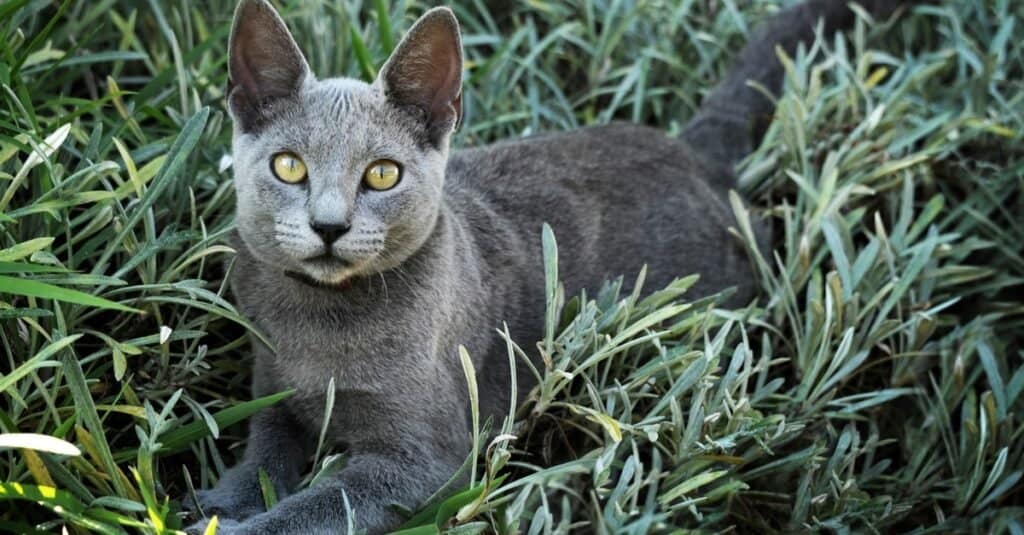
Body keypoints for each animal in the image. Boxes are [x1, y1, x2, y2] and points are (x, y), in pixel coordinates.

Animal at [190, 1, 921, 532]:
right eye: (289, 166)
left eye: (382, 174)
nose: (330, 225)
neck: (319, 324)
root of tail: (690, 150)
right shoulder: (271, 385)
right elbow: (262, 455)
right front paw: (217, 502)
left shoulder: (429, 461)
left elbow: (317, 507)